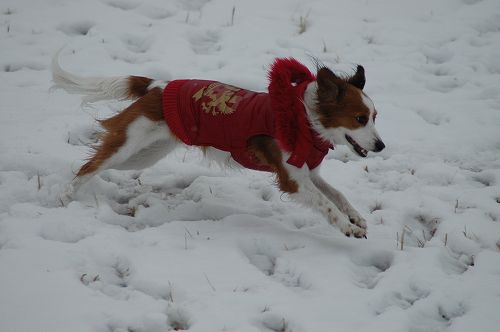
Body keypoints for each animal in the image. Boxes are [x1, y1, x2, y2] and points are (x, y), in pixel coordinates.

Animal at [52, 53, 384, 237]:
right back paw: (64, 198)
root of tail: (157, 86)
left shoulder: (307, 173)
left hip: (145, 155)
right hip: (129, 145)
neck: (304, 118)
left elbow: (337, 194)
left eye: (375, 117)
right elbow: (326, 204)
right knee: (90, 165)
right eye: (360, 118)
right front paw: (348, 228)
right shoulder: (293, 179)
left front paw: (355, 216)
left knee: (95, 165)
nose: (381, 146)